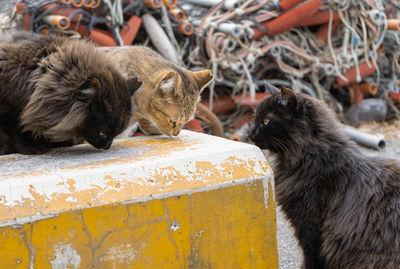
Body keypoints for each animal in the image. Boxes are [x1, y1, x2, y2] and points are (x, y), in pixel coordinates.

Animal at [0, 31, 141, 154]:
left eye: (116, 134)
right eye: (102, 132)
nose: (107, 146)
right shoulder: (8, 109)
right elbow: (16, 130)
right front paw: (32, 146)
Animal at [250, 82, 400, 268]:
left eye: (266, 121)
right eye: (255, 117)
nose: (250, 132)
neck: (313, 158)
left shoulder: (311, 228)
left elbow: (311, 260)